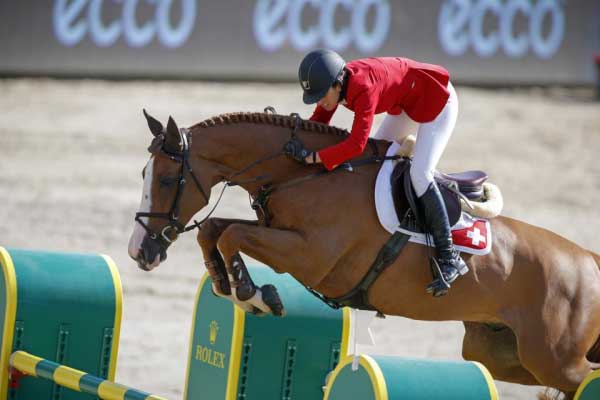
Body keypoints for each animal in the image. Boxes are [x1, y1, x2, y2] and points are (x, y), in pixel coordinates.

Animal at [129, 111, 600, 398]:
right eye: (144, 174)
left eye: (168, 180)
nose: (139, 251)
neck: (305, 174)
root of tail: (589, 261)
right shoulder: (278, 235)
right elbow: (215, 230)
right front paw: (232, 287)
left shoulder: (309, 256)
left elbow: (230, 235)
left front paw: (254, 295)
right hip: (499, 353)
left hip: (553, 358)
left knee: (581, 379)